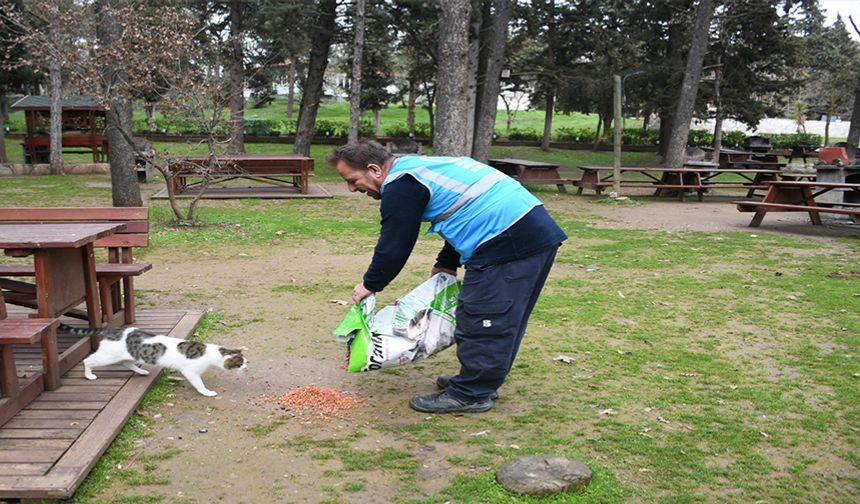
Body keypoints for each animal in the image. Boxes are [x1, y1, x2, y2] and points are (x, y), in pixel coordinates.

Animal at [62, 324, 245, 396]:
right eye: (241, 363)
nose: (248, 365)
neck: (210, 353)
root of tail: (113, 329)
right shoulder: (190, 372)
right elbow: (199, 384)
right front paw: (207, 392)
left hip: (129, 355)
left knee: (126, 362)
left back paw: (141, 371)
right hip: (108, 356)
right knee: (88, 360)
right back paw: (89, 375)